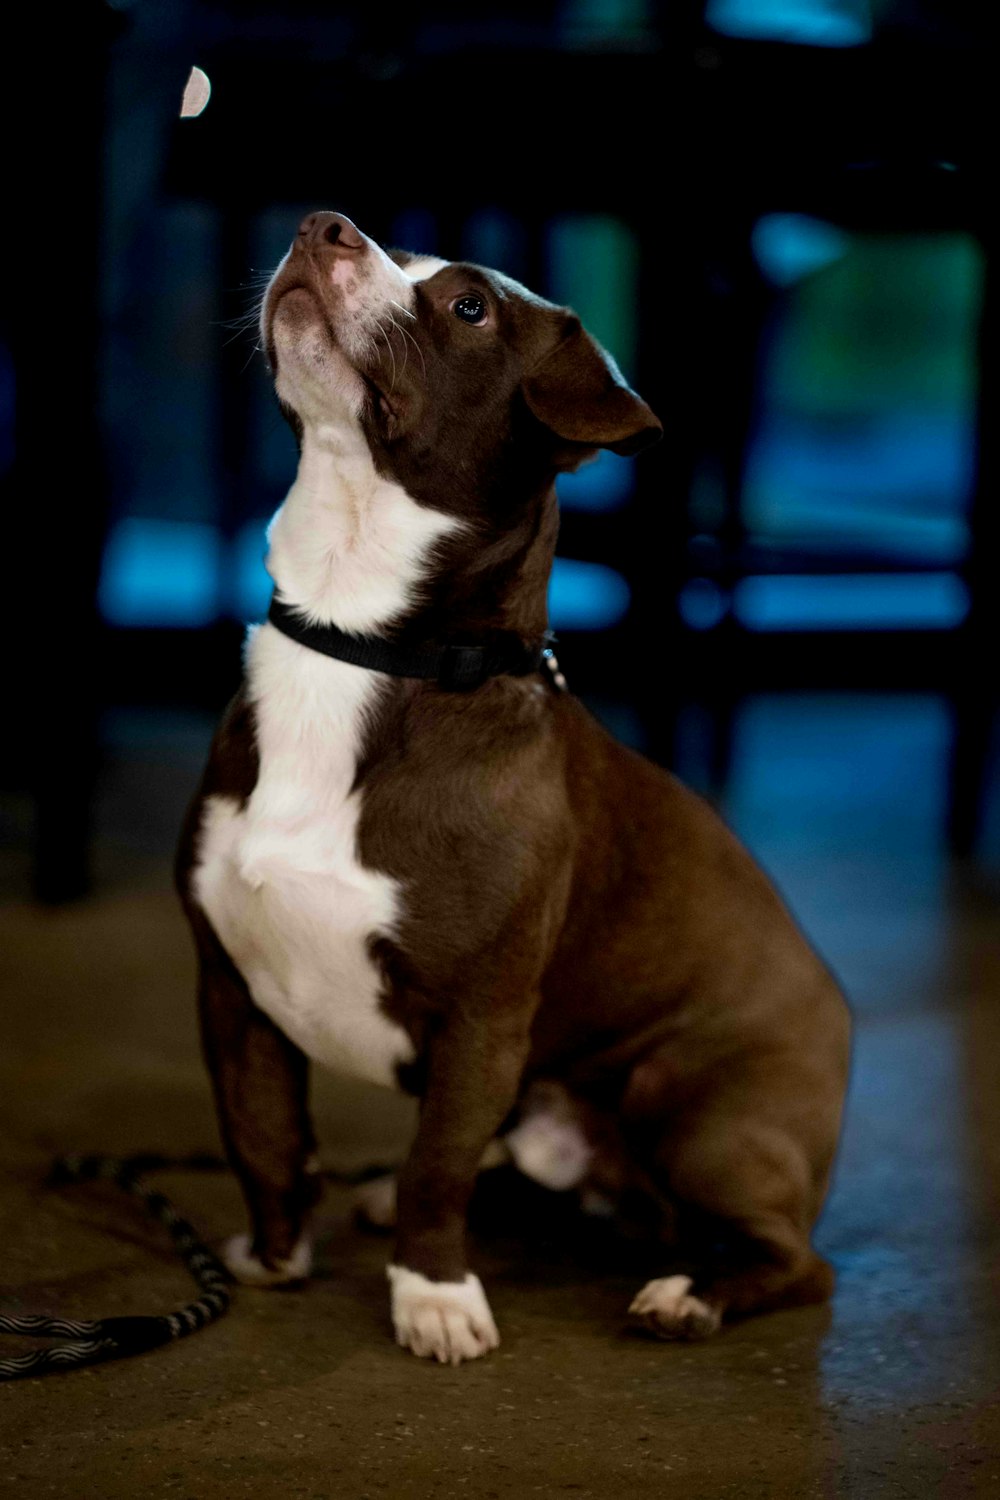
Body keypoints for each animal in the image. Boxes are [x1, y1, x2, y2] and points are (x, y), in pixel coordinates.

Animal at [176, 205, 851, 1368]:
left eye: (469, 306)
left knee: (795, 1261)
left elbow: (435, 1166)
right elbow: (264, 1137)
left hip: (694, 1112)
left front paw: (434, 1295)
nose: (323, 223)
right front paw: (273, 1256)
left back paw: (691, 1293)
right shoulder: (232, 988)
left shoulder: (481, 1023)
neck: (362, 644)